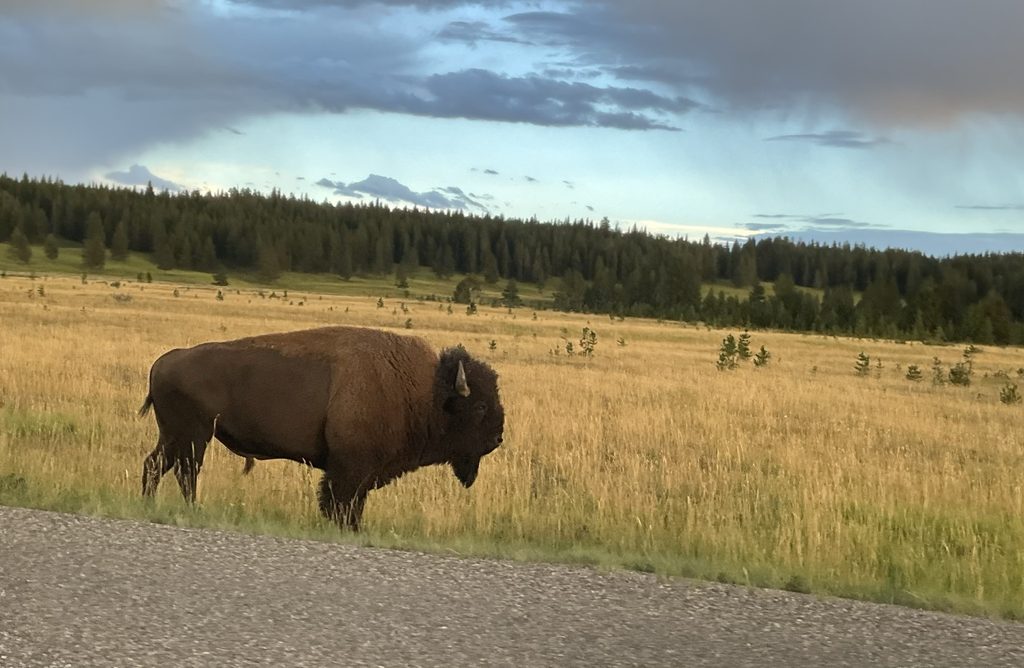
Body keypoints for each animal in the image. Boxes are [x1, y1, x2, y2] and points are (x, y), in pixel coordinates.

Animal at [139, 326, 505, 529]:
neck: (426, 392)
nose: (498, 438)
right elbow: (340, 500)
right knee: (186, 471)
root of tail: (164, 361)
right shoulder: (350, 468)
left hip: (174, 436)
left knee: (156, 465)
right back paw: (191, 508)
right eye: (481, 406)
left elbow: (353, 503)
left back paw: (151, 504)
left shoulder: (363, 472)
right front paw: (345, 528)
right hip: (193, 436)